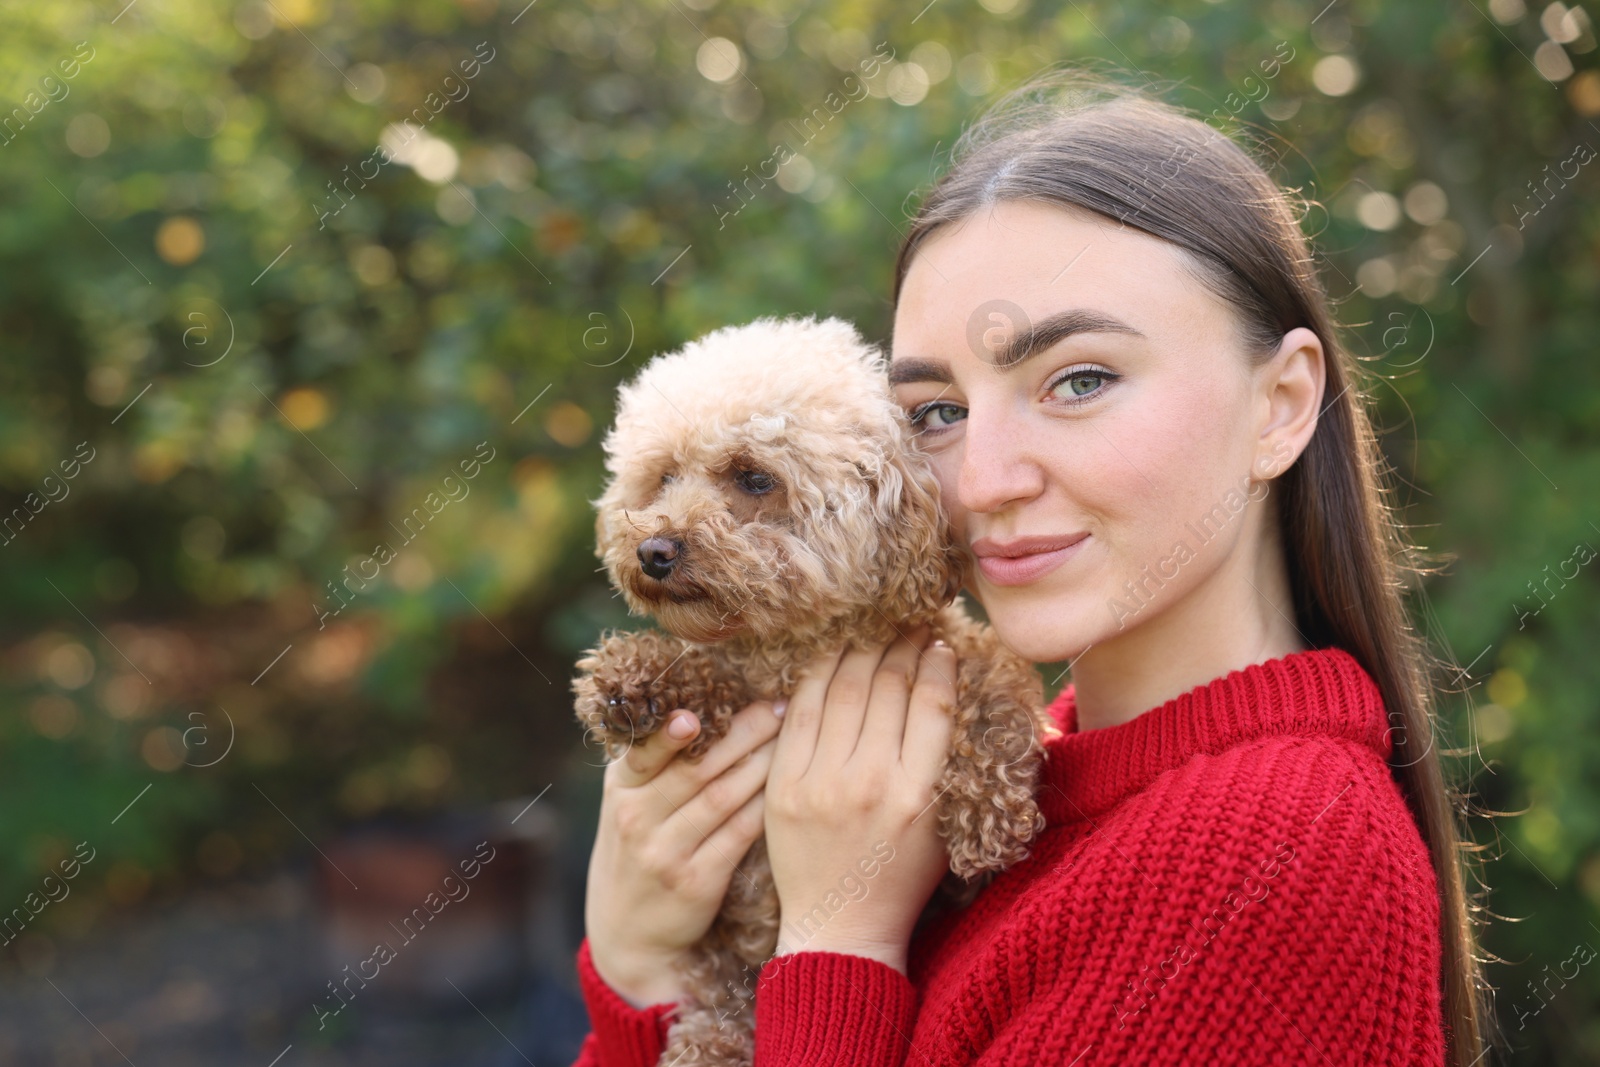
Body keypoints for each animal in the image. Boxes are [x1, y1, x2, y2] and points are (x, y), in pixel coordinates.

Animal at [572, 316, 1049, 1067]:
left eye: (754, 477)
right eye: (665, 476)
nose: (653, 551)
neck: (795, 650)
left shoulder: (953, 651)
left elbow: (995, 692)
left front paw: (990, 818)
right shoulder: (746, 688)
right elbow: (705, 675)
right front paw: (630, 679)